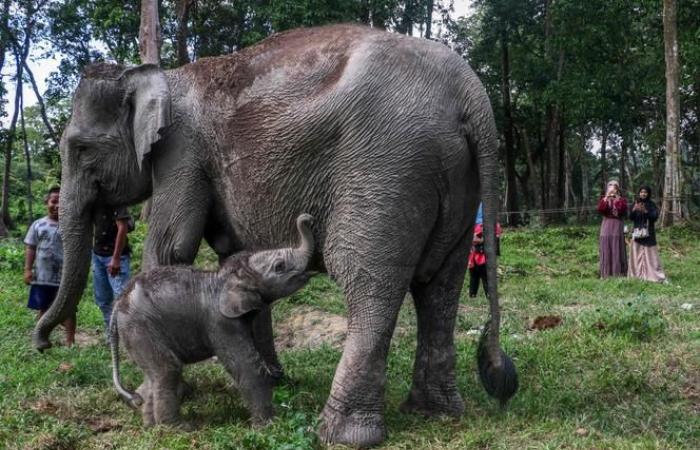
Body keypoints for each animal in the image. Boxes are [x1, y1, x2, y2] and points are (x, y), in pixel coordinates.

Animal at [110, 213, 314, 428]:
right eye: (279, 266)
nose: (307, 218)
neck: (225, 277)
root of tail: (118, 303)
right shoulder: (221, 322)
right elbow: (248, 366)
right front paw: (268, 426)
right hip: (140, 329)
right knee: (168, 370)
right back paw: (178, 428)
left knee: (153, 375)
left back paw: (151, 425)